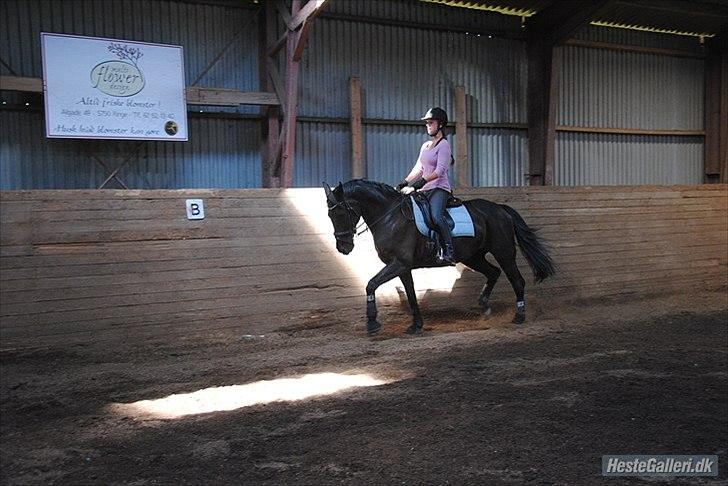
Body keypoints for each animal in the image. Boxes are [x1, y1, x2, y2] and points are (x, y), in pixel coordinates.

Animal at [322, 178, 556, 334]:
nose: (343, 247)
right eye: (329, 215)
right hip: (473, 256)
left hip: (504, 252)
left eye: (341, 212)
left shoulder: (399, 264)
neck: (390, 216)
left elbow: (371, 284)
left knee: (517, 280)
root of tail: (500, 209)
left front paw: (372, 322)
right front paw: (416, 325)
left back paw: (519, 316)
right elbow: (411, 294)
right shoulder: (402, 267)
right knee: (493, 273)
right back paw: (484, 304)